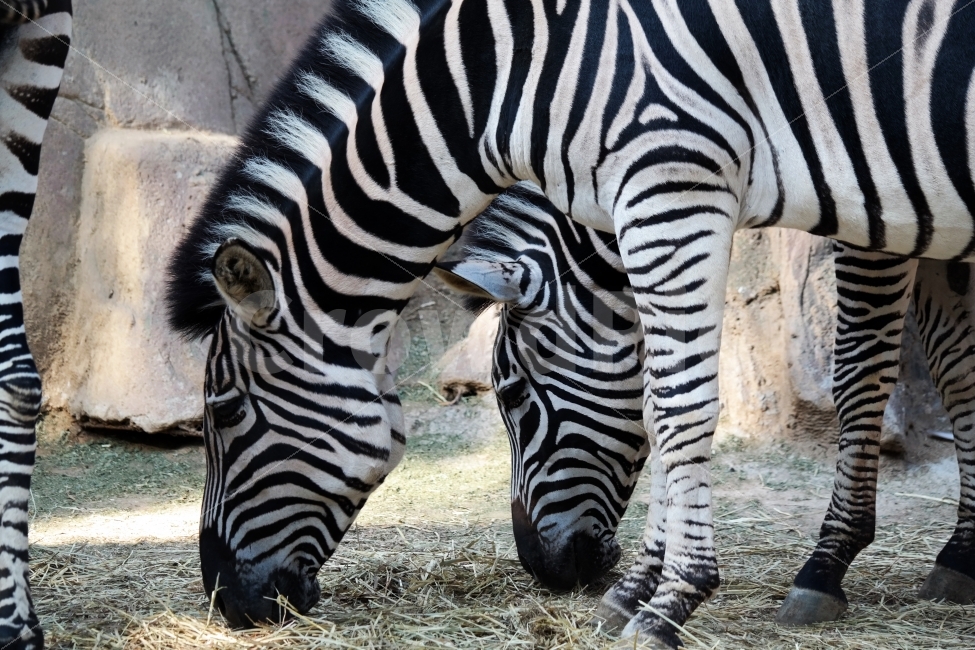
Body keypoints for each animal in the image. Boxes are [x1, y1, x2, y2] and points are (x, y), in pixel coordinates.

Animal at [436, 181, 975, 633]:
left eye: (511, 394)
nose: (538, 569)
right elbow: (957, 371)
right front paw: (961, 552)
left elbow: (861, 370)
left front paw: (827, 563)